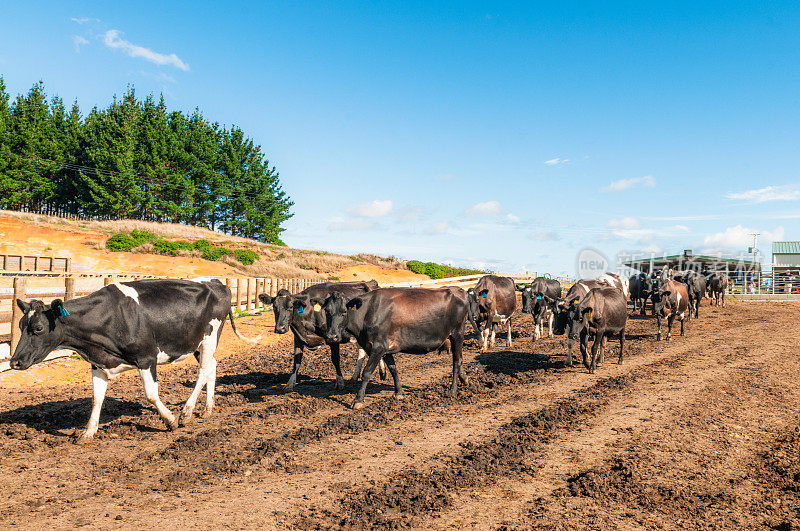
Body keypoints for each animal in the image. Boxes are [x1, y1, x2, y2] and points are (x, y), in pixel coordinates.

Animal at [10, 278, 260, 440]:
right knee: (212, 367)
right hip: (195, 342)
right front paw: (88, 433)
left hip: (210, 336)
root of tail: (219, 284)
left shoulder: (146, 357)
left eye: (39, 328)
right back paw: (208, 409)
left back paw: (187, 412)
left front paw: (170, 421)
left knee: (203, 372)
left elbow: (151, 394)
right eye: (21, 326)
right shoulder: (98, 364)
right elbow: (96, 399)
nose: (14, 362)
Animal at [324, 288, 468, 410]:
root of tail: (458, 290)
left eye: (344, 311)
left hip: (457, 334)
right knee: (459, 360)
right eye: (327, 311)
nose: (331, 336)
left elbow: (367, 372)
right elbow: (393, 368)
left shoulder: (379, 346)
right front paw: (399, 392)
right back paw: (464, 379)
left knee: (457, 361)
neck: (368, 312)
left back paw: (452, 390)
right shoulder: (385, 348)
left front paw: (358, 400)